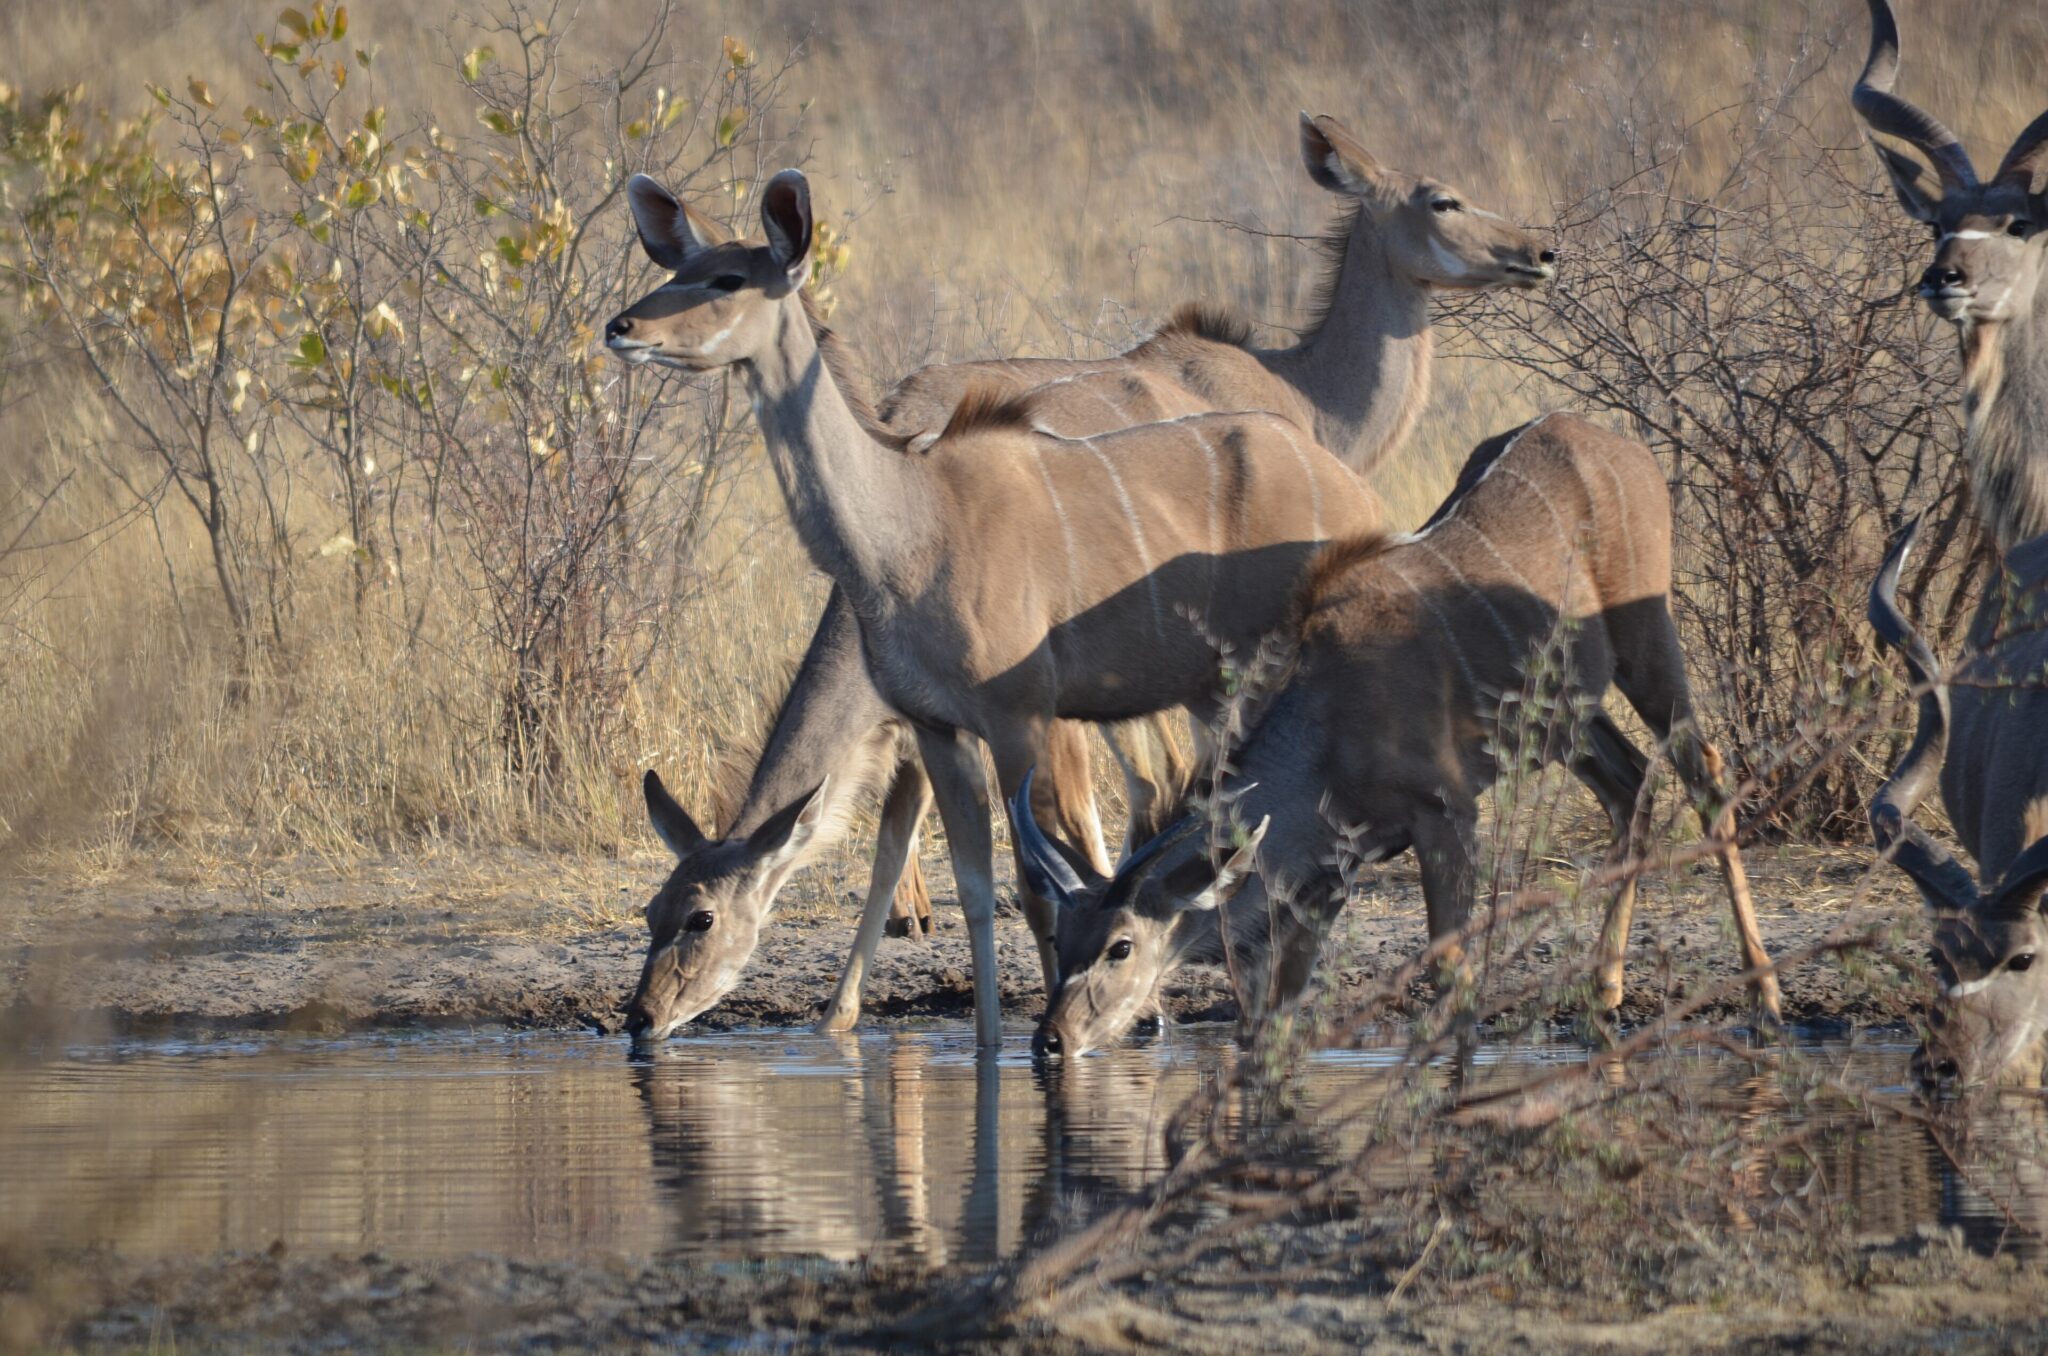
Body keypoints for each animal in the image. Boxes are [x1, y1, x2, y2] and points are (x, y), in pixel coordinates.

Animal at [618, 113, 1557, 1039]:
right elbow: (971, 868)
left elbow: (1049, 864)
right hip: (1212, 691)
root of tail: (1354, 489)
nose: (641, 1017)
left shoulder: (1029, 716)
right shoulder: (946, 724)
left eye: (727, 277)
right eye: (653, 912)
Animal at [1016, 413, 1781, 1057]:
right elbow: (1273, 1014)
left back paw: (1765, 1000)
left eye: (1120, 946)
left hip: (1647, 643)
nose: (1051, 1039)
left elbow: (1453, 980)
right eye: (1061, 933)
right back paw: (1602, 999)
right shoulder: (1331, 871)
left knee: (1706, 772)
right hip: (1569, 720)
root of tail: (1621, 447)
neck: (1328, 724)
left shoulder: (1445, 813)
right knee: (1630, 785)